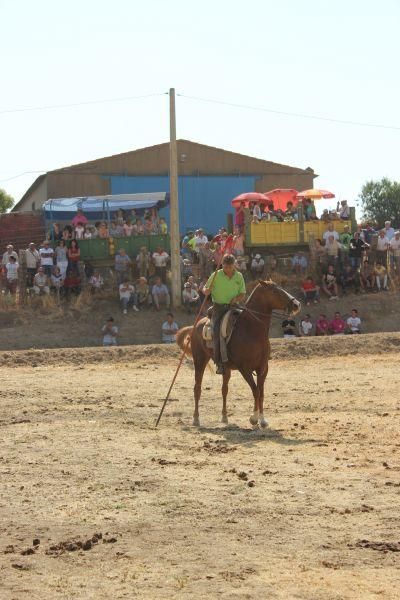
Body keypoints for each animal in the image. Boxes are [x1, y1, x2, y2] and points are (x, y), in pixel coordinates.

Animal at [176, 280, 300, 426]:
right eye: (275, 291)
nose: (297, 304)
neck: (251, 330)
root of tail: (195, 326)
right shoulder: (245, 369)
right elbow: (255, 390)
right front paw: (254, 418)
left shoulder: (263, 368)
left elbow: (261, 392)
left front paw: (262, 419)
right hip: (200, 360)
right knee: (197, 388)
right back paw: (196, 419)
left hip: (226, 368)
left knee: (224, 390)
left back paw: (224, 417)